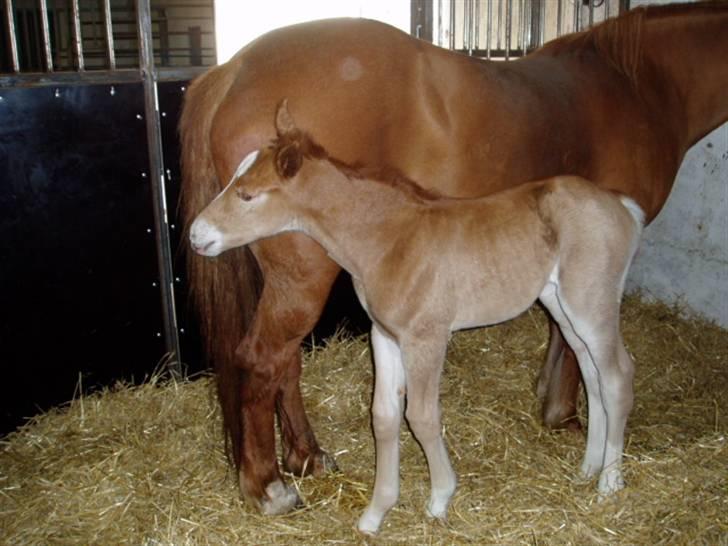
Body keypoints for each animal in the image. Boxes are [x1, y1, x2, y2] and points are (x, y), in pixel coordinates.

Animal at [189, 103, 644, 532]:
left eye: (248, 195)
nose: (196, 235)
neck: (389, 239)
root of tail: (622, 205)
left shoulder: (427, 338)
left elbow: (422, 417)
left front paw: (440, 498)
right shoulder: (385, 336)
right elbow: (384, 417)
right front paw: (375, 514)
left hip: (591, 303)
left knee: (617, 375)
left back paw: (609, 483)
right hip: (563, 306)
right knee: (592, 374)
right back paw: (588, 468)